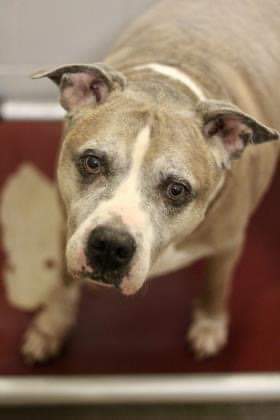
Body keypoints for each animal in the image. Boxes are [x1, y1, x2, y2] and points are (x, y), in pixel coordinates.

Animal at [22, 0, 280, 364]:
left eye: (176, 190)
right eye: (92, 162)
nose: (111, 246)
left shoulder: (229, 244)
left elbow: (216, 285)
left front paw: (209, 326)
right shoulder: (66, 223)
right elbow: (63, 281)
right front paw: (51, 326)